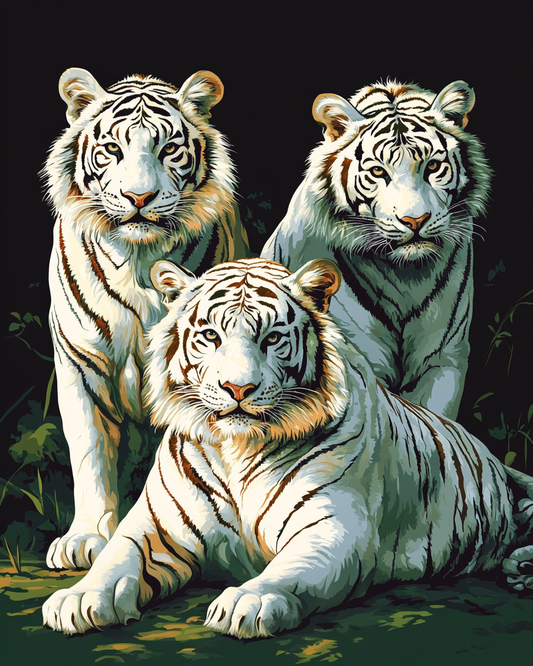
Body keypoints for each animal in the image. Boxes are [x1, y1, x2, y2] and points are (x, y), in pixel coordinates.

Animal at [42, 258, 533, 638]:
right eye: (210, 336)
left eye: (272, 338)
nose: (238, 388)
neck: (238, 449)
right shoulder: (155, 525)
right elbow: (114, 559)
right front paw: (78, 599)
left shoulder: (333, 527)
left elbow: (289, 571)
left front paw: (247, 602)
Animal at [43, 67, 250, 571]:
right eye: (112, 149)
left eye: (168, 149)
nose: (139, 196)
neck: (139, 263)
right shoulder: (80, 364)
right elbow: (89, 452)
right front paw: (85, 538)